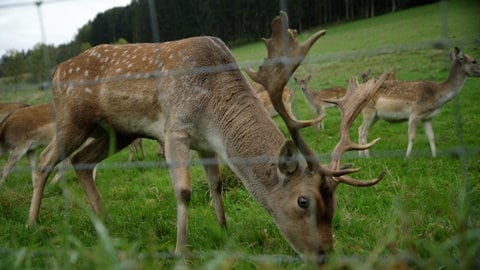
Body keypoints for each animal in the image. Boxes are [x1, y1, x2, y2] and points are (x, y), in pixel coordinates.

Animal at [25, 11, 386, 264]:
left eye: (334, 204)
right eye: (303, 201)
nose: (324, 255)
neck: (213, 108)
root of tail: (54, 72)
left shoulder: (207, 145)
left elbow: (216, 185)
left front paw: (223, 233)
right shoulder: (175, 130)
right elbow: (184, 191)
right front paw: (180, 250)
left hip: (118, 131)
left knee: (81, 161)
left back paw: (105, 221)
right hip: (72, 119)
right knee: (45, 161)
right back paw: (32, 224)